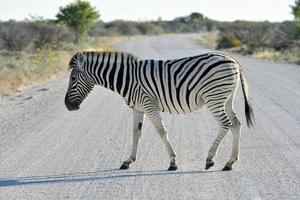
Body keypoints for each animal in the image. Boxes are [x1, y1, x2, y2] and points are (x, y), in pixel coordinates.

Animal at [65, 50, 253, 171]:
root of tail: (233, 61)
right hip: (226, 99)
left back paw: (210, 159)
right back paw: (230, 163)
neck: (127, 79)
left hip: (214, 98)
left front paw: (173, 162)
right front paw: (128, 161)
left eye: (73, 78)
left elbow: (162, 132)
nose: (67, 105)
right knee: (236, 124)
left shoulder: (149, 105)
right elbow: (136, 134)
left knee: (226, 124)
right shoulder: (137, 108)